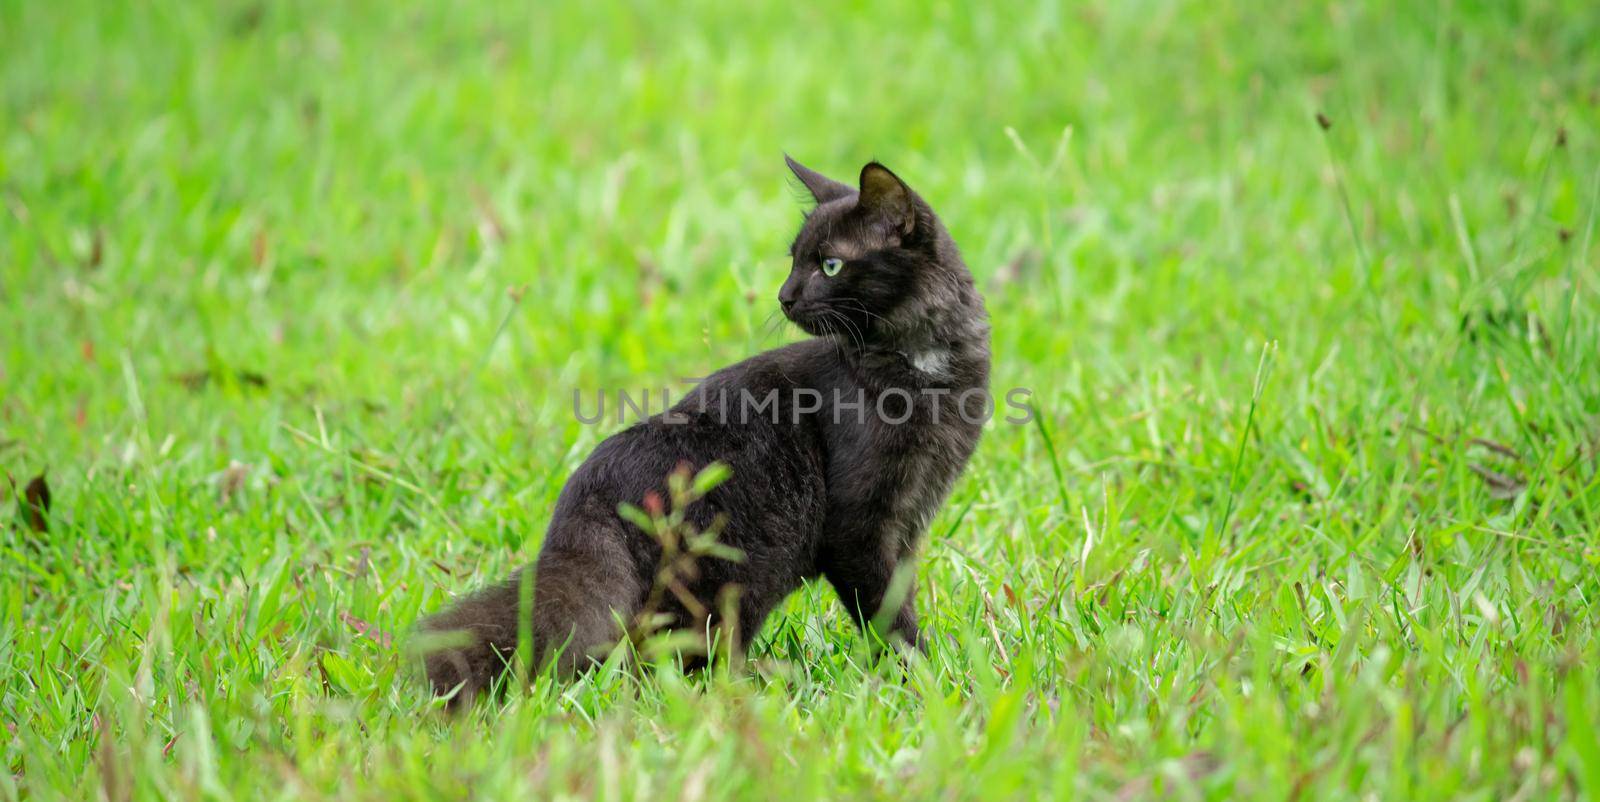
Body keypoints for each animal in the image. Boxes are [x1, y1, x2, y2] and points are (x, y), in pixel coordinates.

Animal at [422, 154, 998, 701]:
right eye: (795, 261)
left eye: (830, 265)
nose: (785, 295)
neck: (922, 369)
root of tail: (585, 495)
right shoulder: (859, 527)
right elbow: (888, 616)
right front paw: (924, 677)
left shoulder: (908, 519)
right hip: (726, 583)